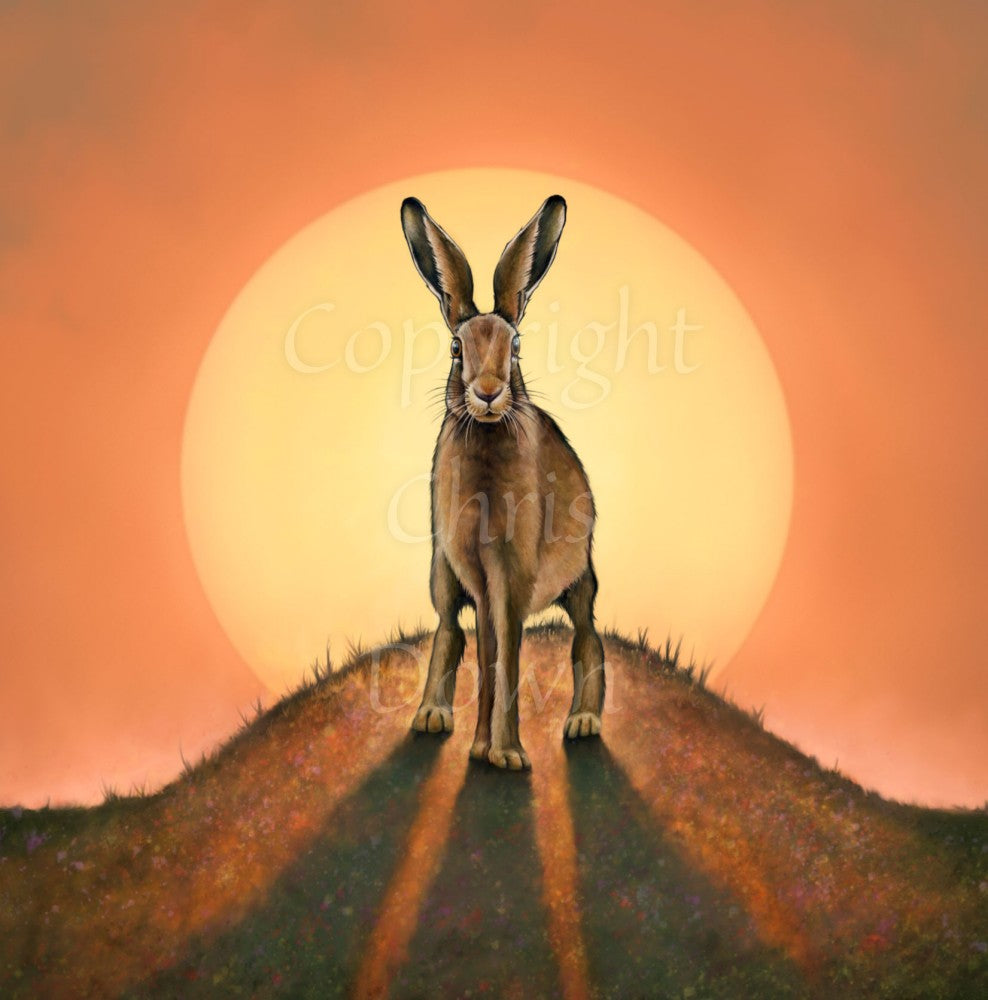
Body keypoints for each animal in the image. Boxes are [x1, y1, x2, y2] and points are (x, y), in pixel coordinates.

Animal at [400, 194, 605, 770]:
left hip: (580, 579)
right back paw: (431, 717)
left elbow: (508, 659)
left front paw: (507, 754)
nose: (489, 393)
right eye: (455, 348)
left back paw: (583, 722)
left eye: (514, 349)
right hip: (442, 572)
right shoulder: (475, 572)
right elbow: (489, 657)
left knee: (587, 638)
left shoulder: (510, 573)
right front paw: (483, 751)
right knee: (449, 631)